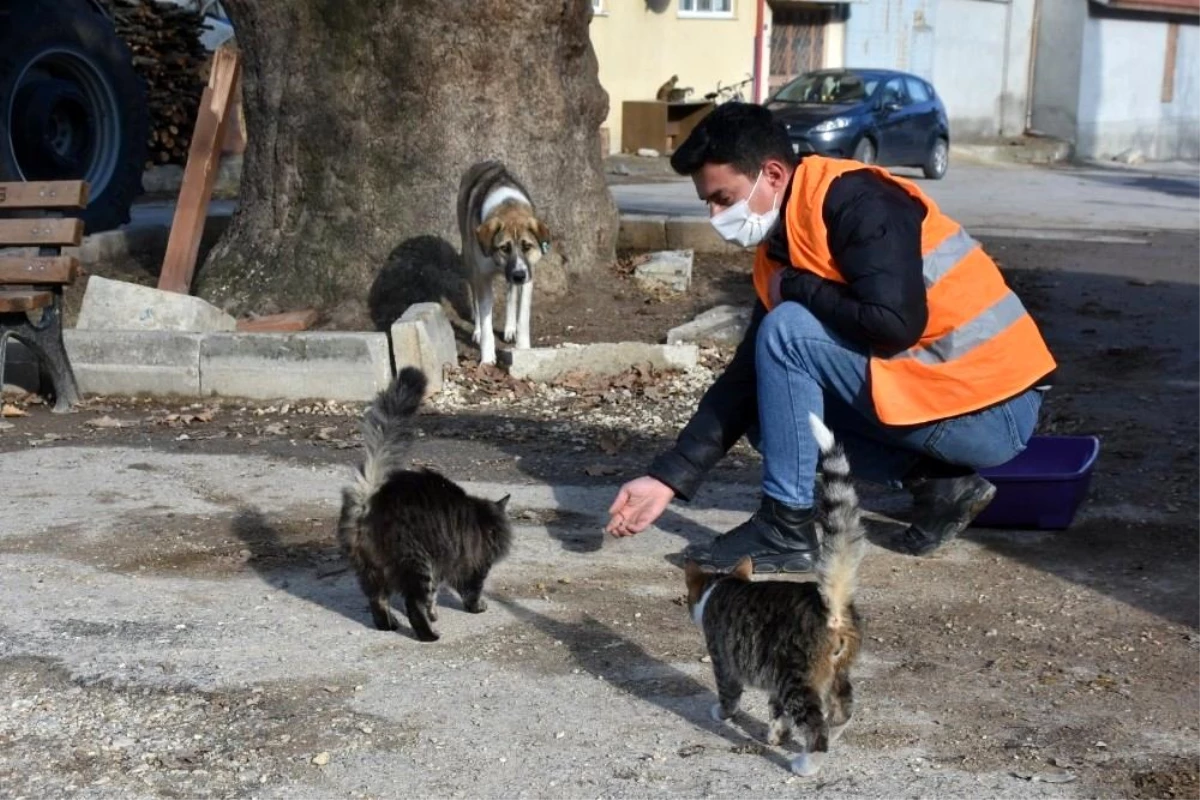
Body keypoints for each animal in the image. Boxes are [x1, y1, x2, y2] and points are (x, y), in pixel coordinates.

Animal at [338, 369, 511, 642]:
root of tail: (373, 496)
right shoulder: (474, 565)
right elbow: (468, 592)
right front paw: (475, 608)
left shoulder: (443, 565)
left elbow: (435, 597)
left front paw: (435, 613)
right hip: (417, 563)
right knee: (412, 604)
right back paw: (429, 635)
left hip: (370, 569)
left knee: (378, 600)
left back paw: (389, 625)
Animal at [456, 160, 549, 367]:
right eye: (504, 248)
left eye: (527, 246)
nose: (519, 275)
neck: (508, 206)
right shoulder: (482, 277)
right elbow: (485, 320)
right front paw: (487, 357)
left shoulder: (529, 275)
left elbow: (523, 315)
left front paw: (523, 349)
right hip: (469, 262)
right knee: (476, 300)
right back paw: (477, 331)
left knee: (511, 294)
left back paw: (509, 328)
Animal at [686, 412, 864, 777]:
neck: (722, 586)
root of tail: (830, 606)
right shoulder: (773, 680)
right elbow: (776, 711)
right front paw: (776, 735)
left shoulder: (724, 658)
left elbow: (729, 696)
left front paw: (721, 715)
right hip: (837, 672)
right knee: (843, 710)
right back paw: (832, 734)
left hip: (796, 677)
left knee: (816, 726)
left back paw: (808, 762)